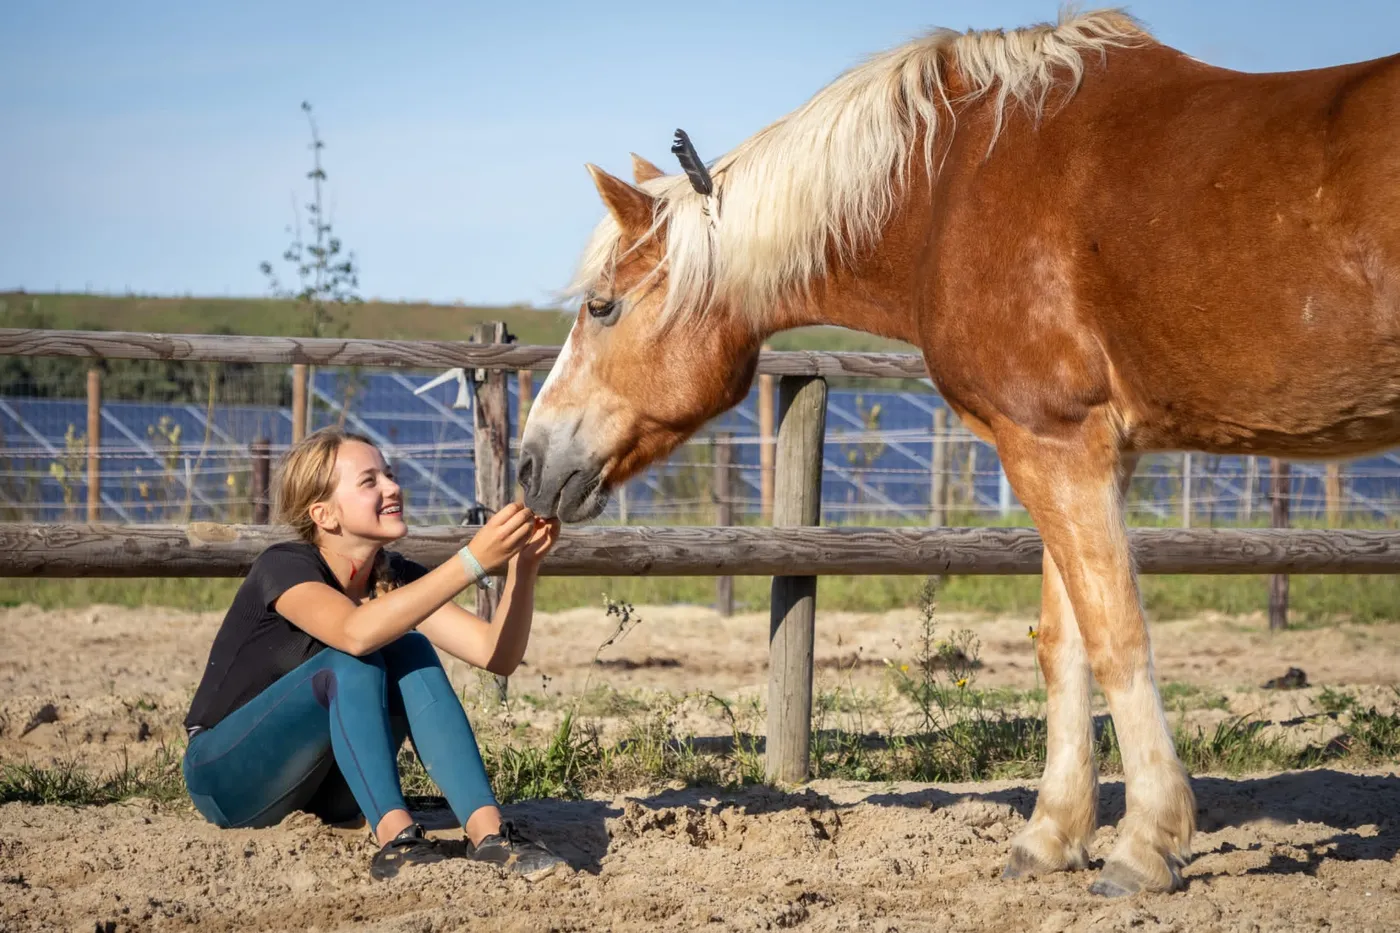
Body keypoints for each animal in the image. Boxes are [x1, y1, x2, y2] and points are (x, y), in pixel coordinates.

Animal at [517, 8, 1400, 896]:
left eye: (602, 306)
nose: (529, 463)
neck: (950, 183)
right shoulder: (1074, 449)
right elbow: (1065, 645)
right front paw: (1051, 837)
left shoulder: (1055, 442)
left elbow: (1117, 636)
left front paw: (1145, 845)